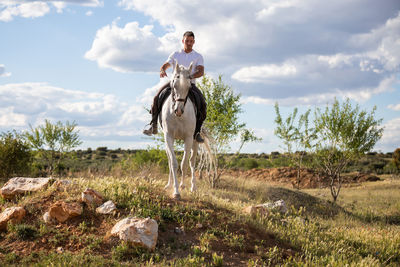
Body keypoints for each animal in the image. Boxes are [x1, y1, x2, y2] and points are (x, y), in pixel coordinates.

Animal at [161, 61, 200, 199]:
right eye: (174, 85)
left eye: (189, 87)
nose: (178, 110)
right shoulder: (169, 137)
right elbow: (173, 163)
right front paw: (175, 190)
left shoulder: (188, 138)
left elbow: (184, 164)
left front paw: (182, 186)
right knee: (170, 160)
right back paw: (169, 185)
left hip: (195, 141)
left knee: (192, 161)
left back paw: (192, 187)